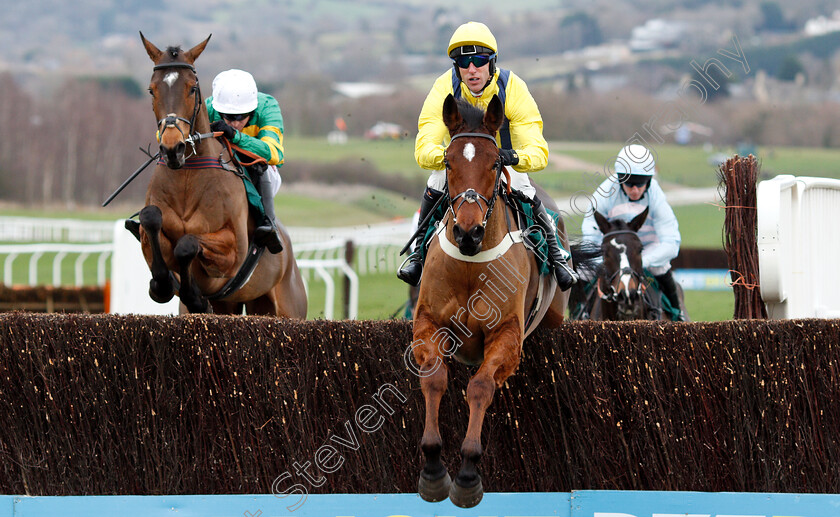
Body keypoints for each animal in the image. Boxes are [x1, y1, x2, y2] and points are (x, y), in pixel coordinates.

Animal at [136, 34, 306, 316]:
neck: (186, 181)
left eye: (192, 88)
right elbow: (150, 219)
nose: (172, 149)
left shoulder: (232, 253)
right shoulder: (153, 235)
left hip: (288, 307)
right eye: (152, 90)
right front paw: (162, 285)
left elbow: (188, 243)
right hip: (237, 304)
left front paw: (194, 296)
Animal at [408, 94, 596, 506]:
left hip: (554, 315)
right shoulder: (428, 323)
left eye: (495, 162)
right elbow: (434, 377)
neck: (470, 262)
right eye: (448, 161)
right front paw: (433, 468)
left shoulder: (508, 336)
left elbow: (480, 386)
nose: (468, 232)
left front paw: (467, 474)